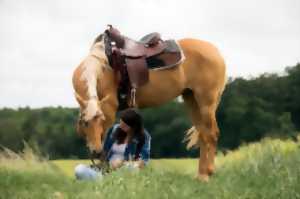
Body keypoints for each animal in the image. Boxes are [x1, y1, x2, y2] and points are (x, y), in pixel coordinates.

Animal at [72, 30, 226, 180]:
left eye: (102, 120)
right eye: (85, 123)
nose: (95, 151)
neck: (101, 67)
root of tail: (216, 52)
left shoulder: (109, 109)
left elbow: (105, 140)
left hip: (206, 103)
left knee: (211, 135)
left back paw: (205, 175)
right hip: (192, 100)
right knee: (203, 134)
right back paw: (200, 174)